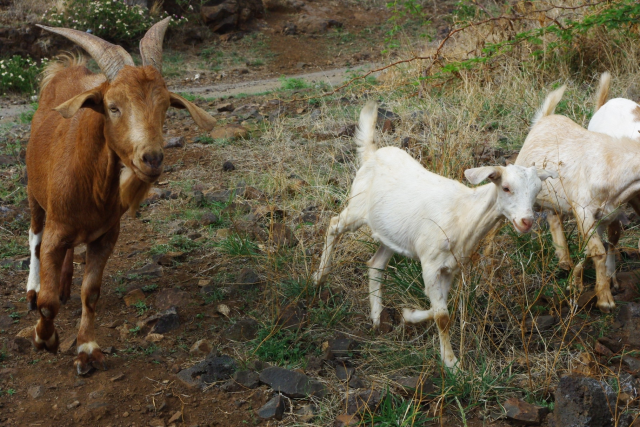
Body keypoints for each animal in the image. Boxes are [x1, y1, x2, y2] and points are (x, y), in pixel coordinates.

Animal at [26, 19, 216, 375]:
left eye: (165, 107)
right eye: (113, 107)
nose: (152, 158)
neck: (90, 184)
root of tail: (67, 68)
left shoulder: (107, 235)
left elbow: (91, 292)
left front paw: (87, 349)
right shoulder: (56, 232)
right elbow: (47, 303)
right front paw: (45, 339)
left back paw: (64, 282)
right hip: (33, 192)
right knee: (33, 236)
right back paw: (33, 288)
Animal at [314, 101, 554, 369]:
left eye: (536, 191)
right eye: (506, 187)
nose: (526, 221)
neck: (464, 215)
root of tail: (371, 154)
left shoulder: (451, 268)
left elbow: (440, 307)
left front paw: (408, 314)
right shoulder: (430, 263)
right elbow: (442, 316)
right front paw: (451, 363)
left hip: (392, 234)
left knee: (375, 263)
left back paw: (376, 317)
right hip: (357, 208)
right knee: (334, 225)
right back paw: (319, 277)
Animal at [516, 85, 640, 312]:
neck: (611, 166)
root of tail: (544, 118)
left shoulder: (606, 214)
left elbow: (596, 246)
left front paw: (578, 282)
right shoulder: (583, 210)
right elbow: (597, 250)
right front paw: (605, 300)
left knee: (554, 217)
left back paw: (564, 260)